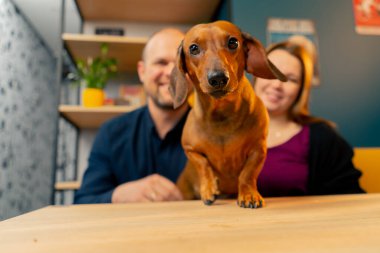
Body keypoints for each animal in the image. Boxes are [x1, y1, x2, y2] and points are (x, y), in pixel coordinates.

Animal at [168, 20, 284, 209]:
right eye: (193, 48)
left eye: (233, 42)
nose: (218, 78)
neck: (222, 115)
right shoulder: (190, 149)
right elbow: (203, 165)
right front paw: (209, 188)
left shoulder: (258, 149)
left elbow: (247, 174)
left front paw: (249, 194)